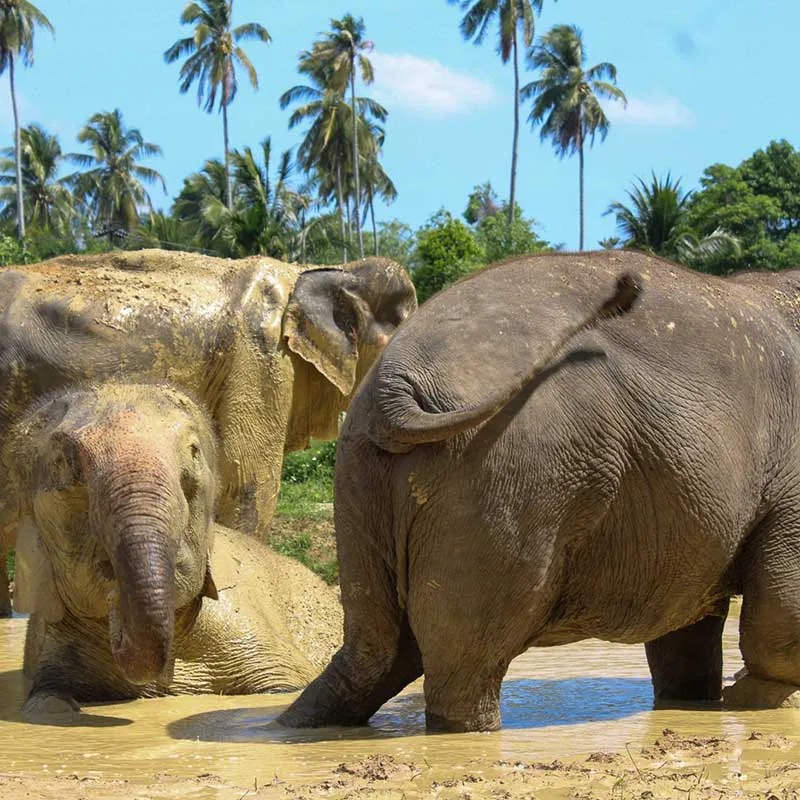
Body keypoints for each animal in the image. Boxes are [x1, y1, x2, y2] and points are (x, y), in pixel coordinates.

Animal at [278, 248, 800, 733]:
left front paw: (702, 700)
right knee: (464, 665)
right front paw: (756, 699)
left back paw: (297, 722)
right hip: (511, 477)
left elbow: (685, 627)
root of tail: (395, 385)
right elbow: (780, 608)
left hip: (361, 476)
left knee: (374, 651)